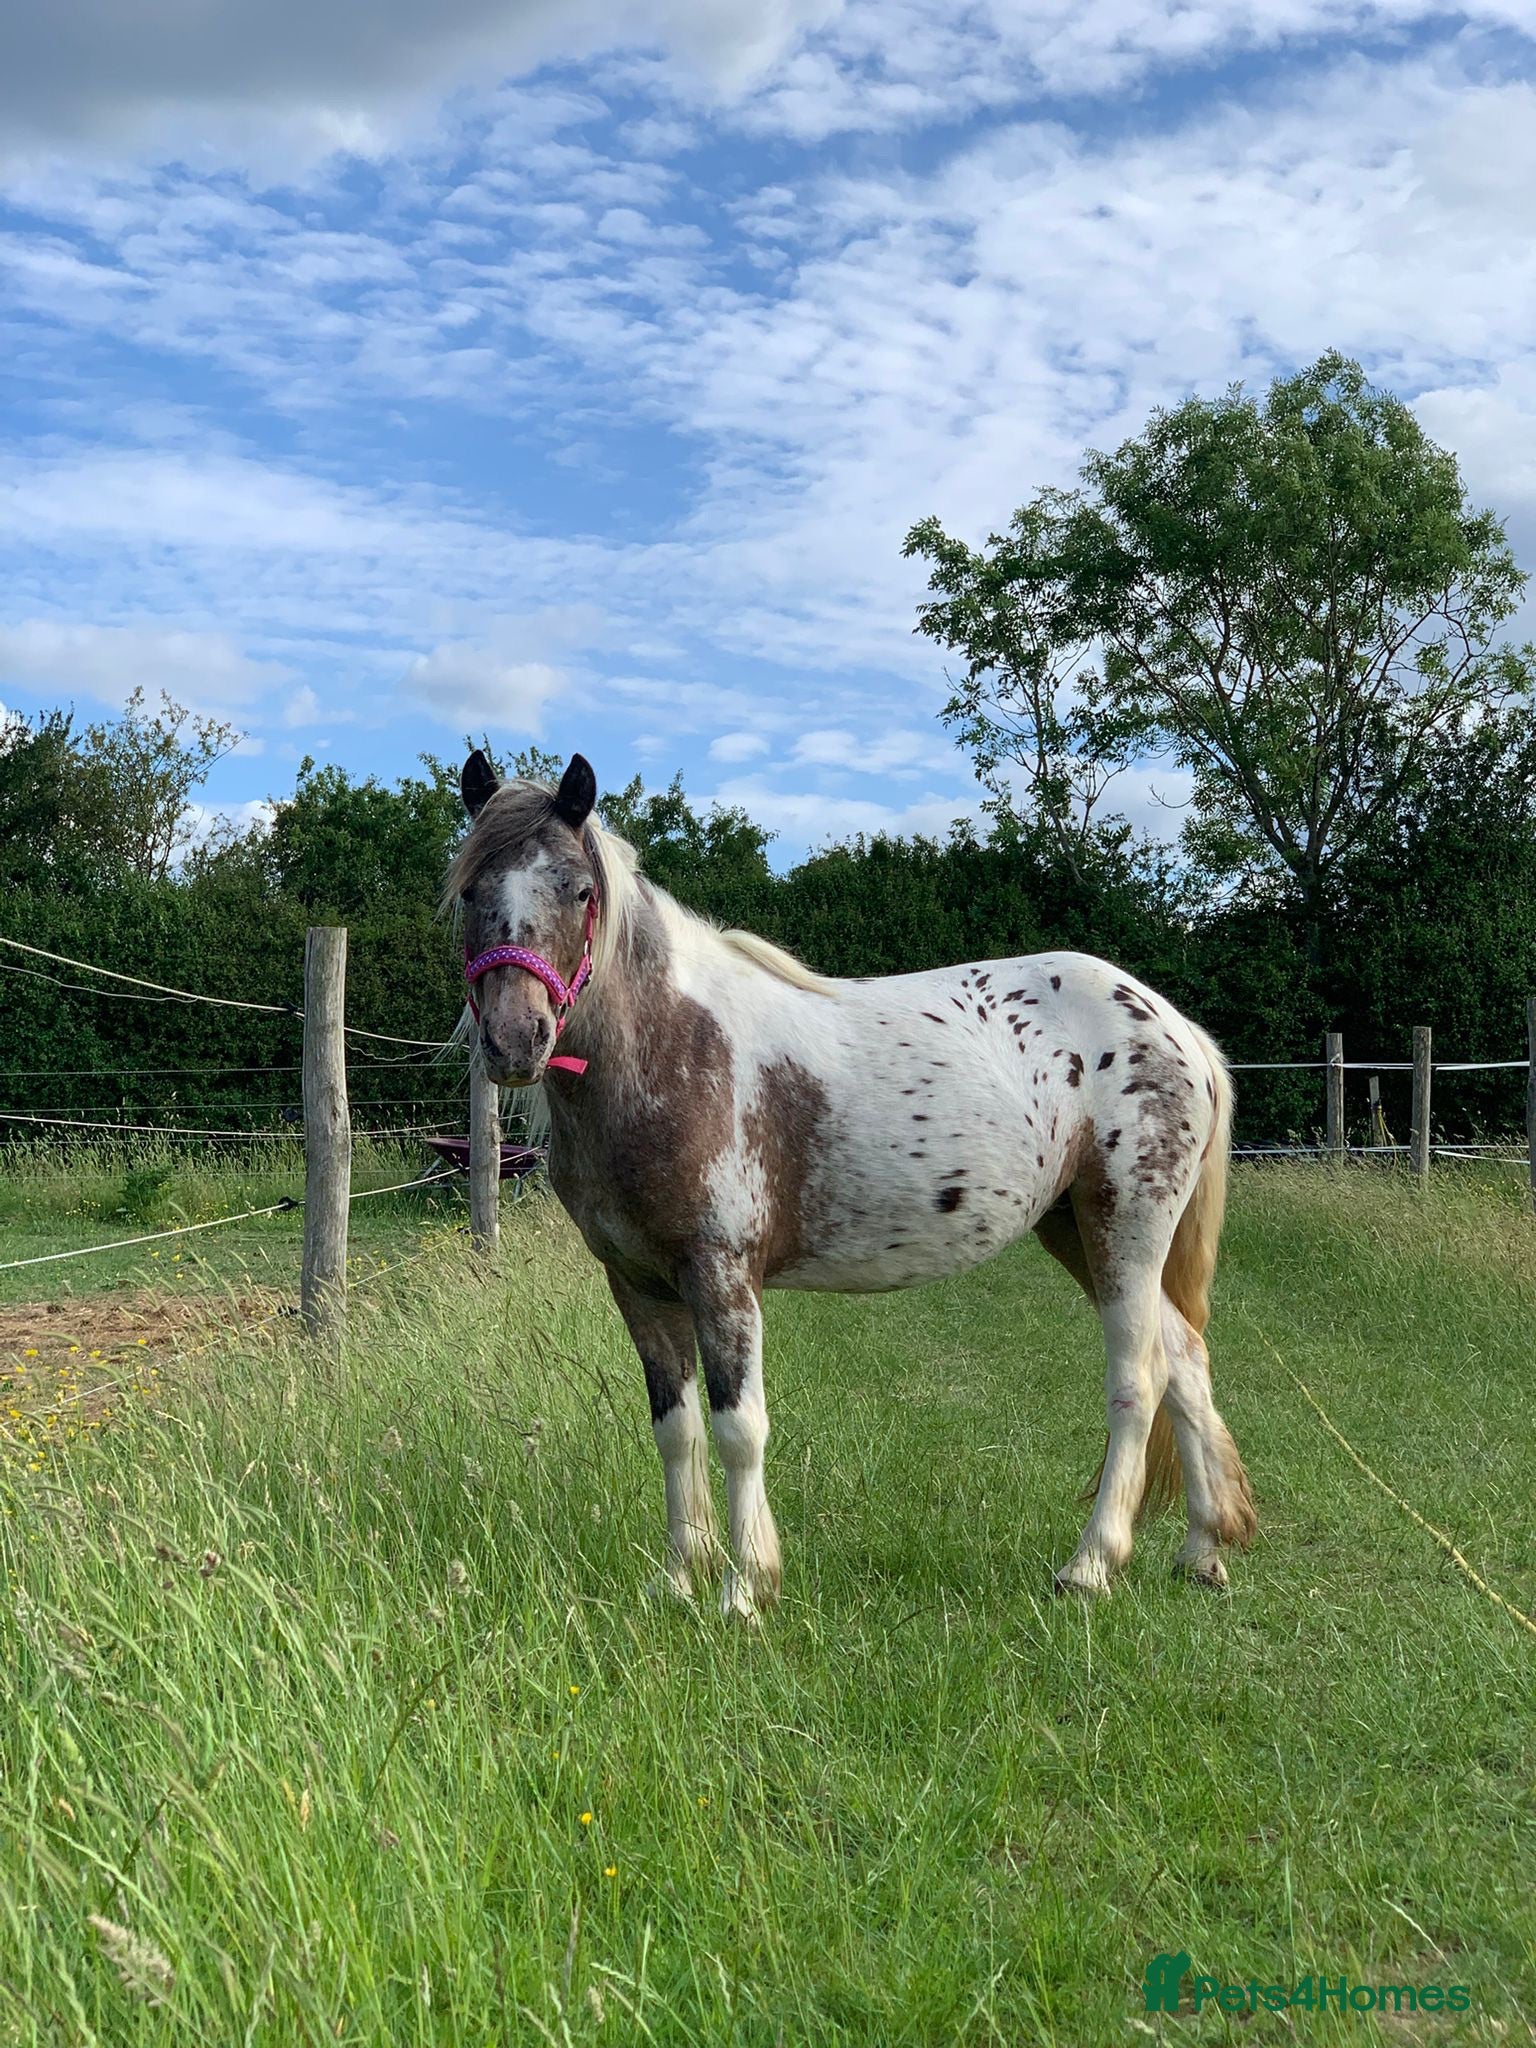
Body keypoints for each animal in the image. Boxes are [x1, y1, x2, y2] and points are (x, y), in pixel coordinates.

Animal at [447, 751, 1257, 1617]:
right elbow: (676, 1431)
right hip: (1077, 1230)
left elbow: (739, 1429)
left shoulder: (723, 1277)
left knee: (1139, 1380)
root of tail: (1171, 1025)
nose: (515, 1039)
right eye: (469, 890)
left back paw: (1092, 1565)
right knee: (1185, 1363)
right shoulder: (638, 1285)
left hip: (1125, 1227)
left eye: (579, 890)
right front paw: (678, 1579)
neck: (672, 1050)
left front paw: (744, 1589)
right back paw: (1202, 1551)